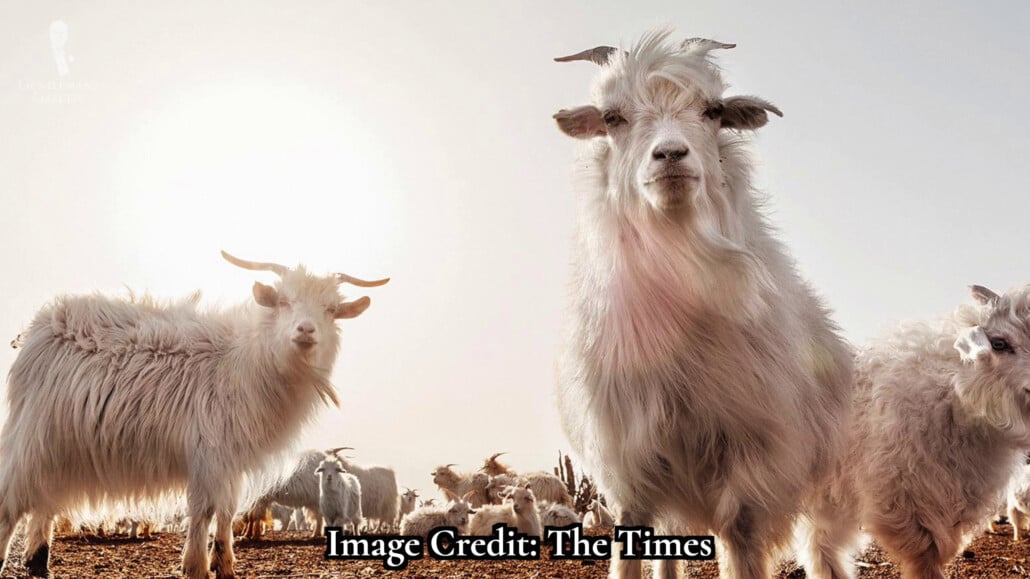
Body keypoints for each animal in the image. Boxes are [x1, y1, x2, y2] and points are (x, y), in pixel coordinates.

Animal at [0, 251, 387, 578]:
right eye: (283, 301)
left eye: (330, 309)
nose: (305, 330)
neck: (242, 362)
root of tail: (40, 327)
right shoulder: (207, 453)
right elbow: (203, 510)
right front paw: (196, 565)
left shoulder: (230, 461)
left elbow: (227, 511)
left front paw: (225, 566)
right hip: (34, 435)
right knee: (11, 498)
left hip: (61, 447)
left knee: (44, 499)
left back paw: (38, 562)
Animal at [553, 30, 853, 579]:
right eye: (612, 117)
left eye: (713, 111)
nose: (671, 154)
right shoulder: (632, 474)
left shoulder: (751, 471)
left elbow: (742, 543)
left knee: (824, 551)